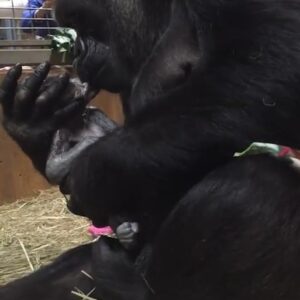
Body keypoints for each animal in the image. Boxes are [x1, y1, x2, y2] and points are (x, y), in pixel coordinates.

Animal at [2, 0, 300, 298]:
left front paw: (89, 174)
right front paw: (33, 124)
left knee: (252, 186)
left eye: (79, 19)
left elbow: (267, 68)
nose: (76, 50)